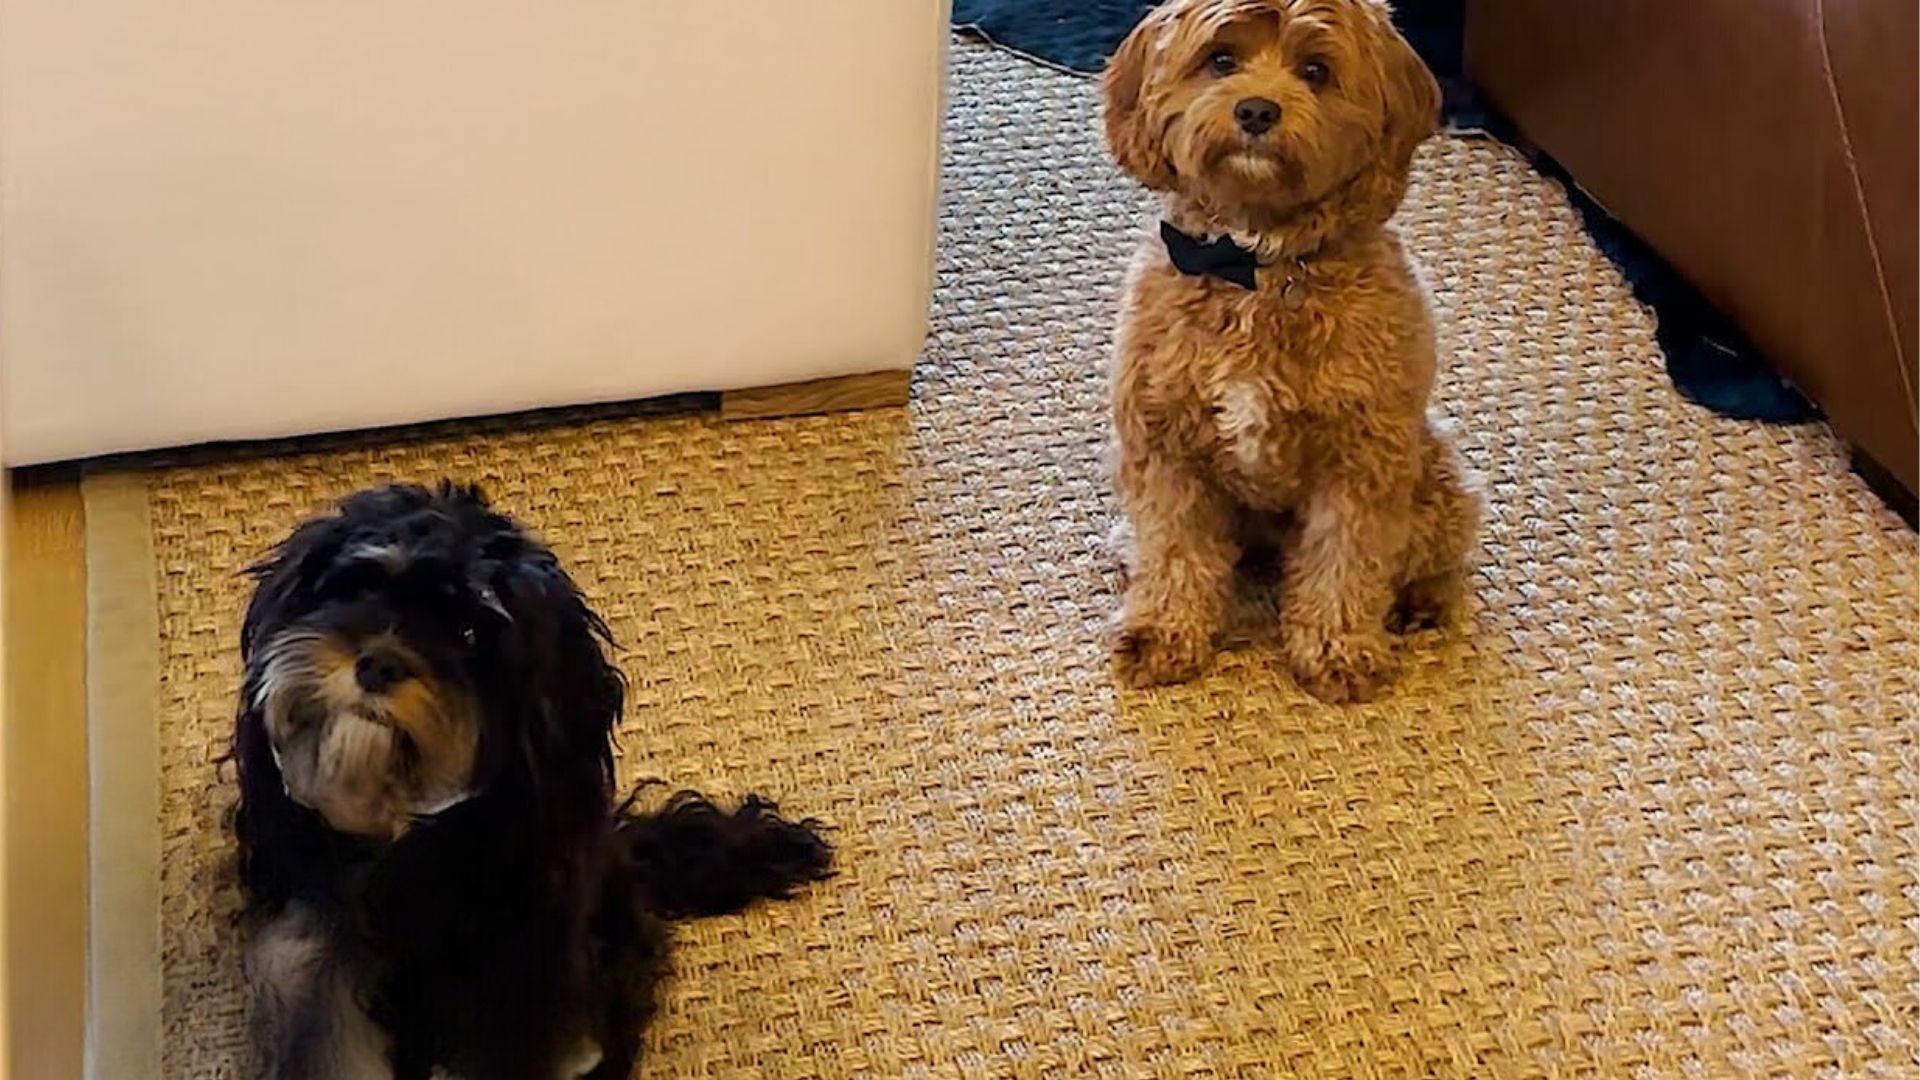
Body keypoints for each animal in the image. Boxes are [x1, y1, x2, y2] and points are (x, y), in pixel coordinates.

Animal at [1098, 0, 1482, 699]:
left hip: (1435, 468)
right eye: (1221, 59)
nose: (1256, 111)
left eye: (1316, 71)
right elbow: (1174, 549)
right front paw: (1163, 633)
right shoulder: (1164, 445)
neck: (1255, 265)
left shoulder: (1362, 457)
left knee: (1434, 552)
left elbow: (1345, 558)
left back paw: (1425, 602)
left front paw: (1337, 651)